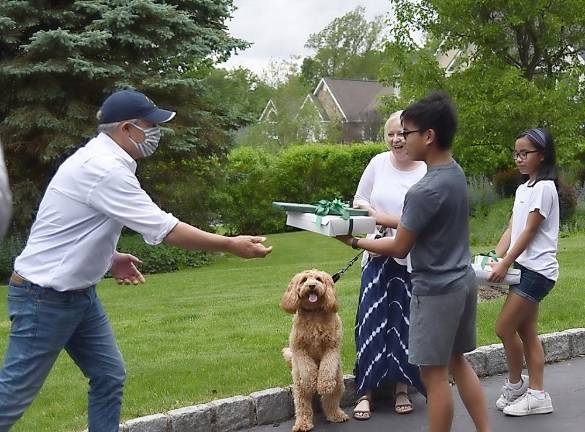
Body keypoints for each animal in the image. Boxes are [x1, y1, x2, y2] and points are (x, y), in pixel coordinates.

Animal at [280, 268, 350, 430]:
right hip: (298, 387)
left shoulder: (332, 347)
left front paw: (323, 384)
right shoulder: (299, 349)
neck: (314, 312)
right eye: (304, 280)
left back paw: (336, 415)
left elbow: (327, 367)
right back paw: (302, 424)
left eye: (318, 279)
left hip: (338, 382)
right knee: (303, 405)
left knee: (330, 400)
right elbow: (307, 368)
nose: (312, 286)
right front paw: (311, 382)